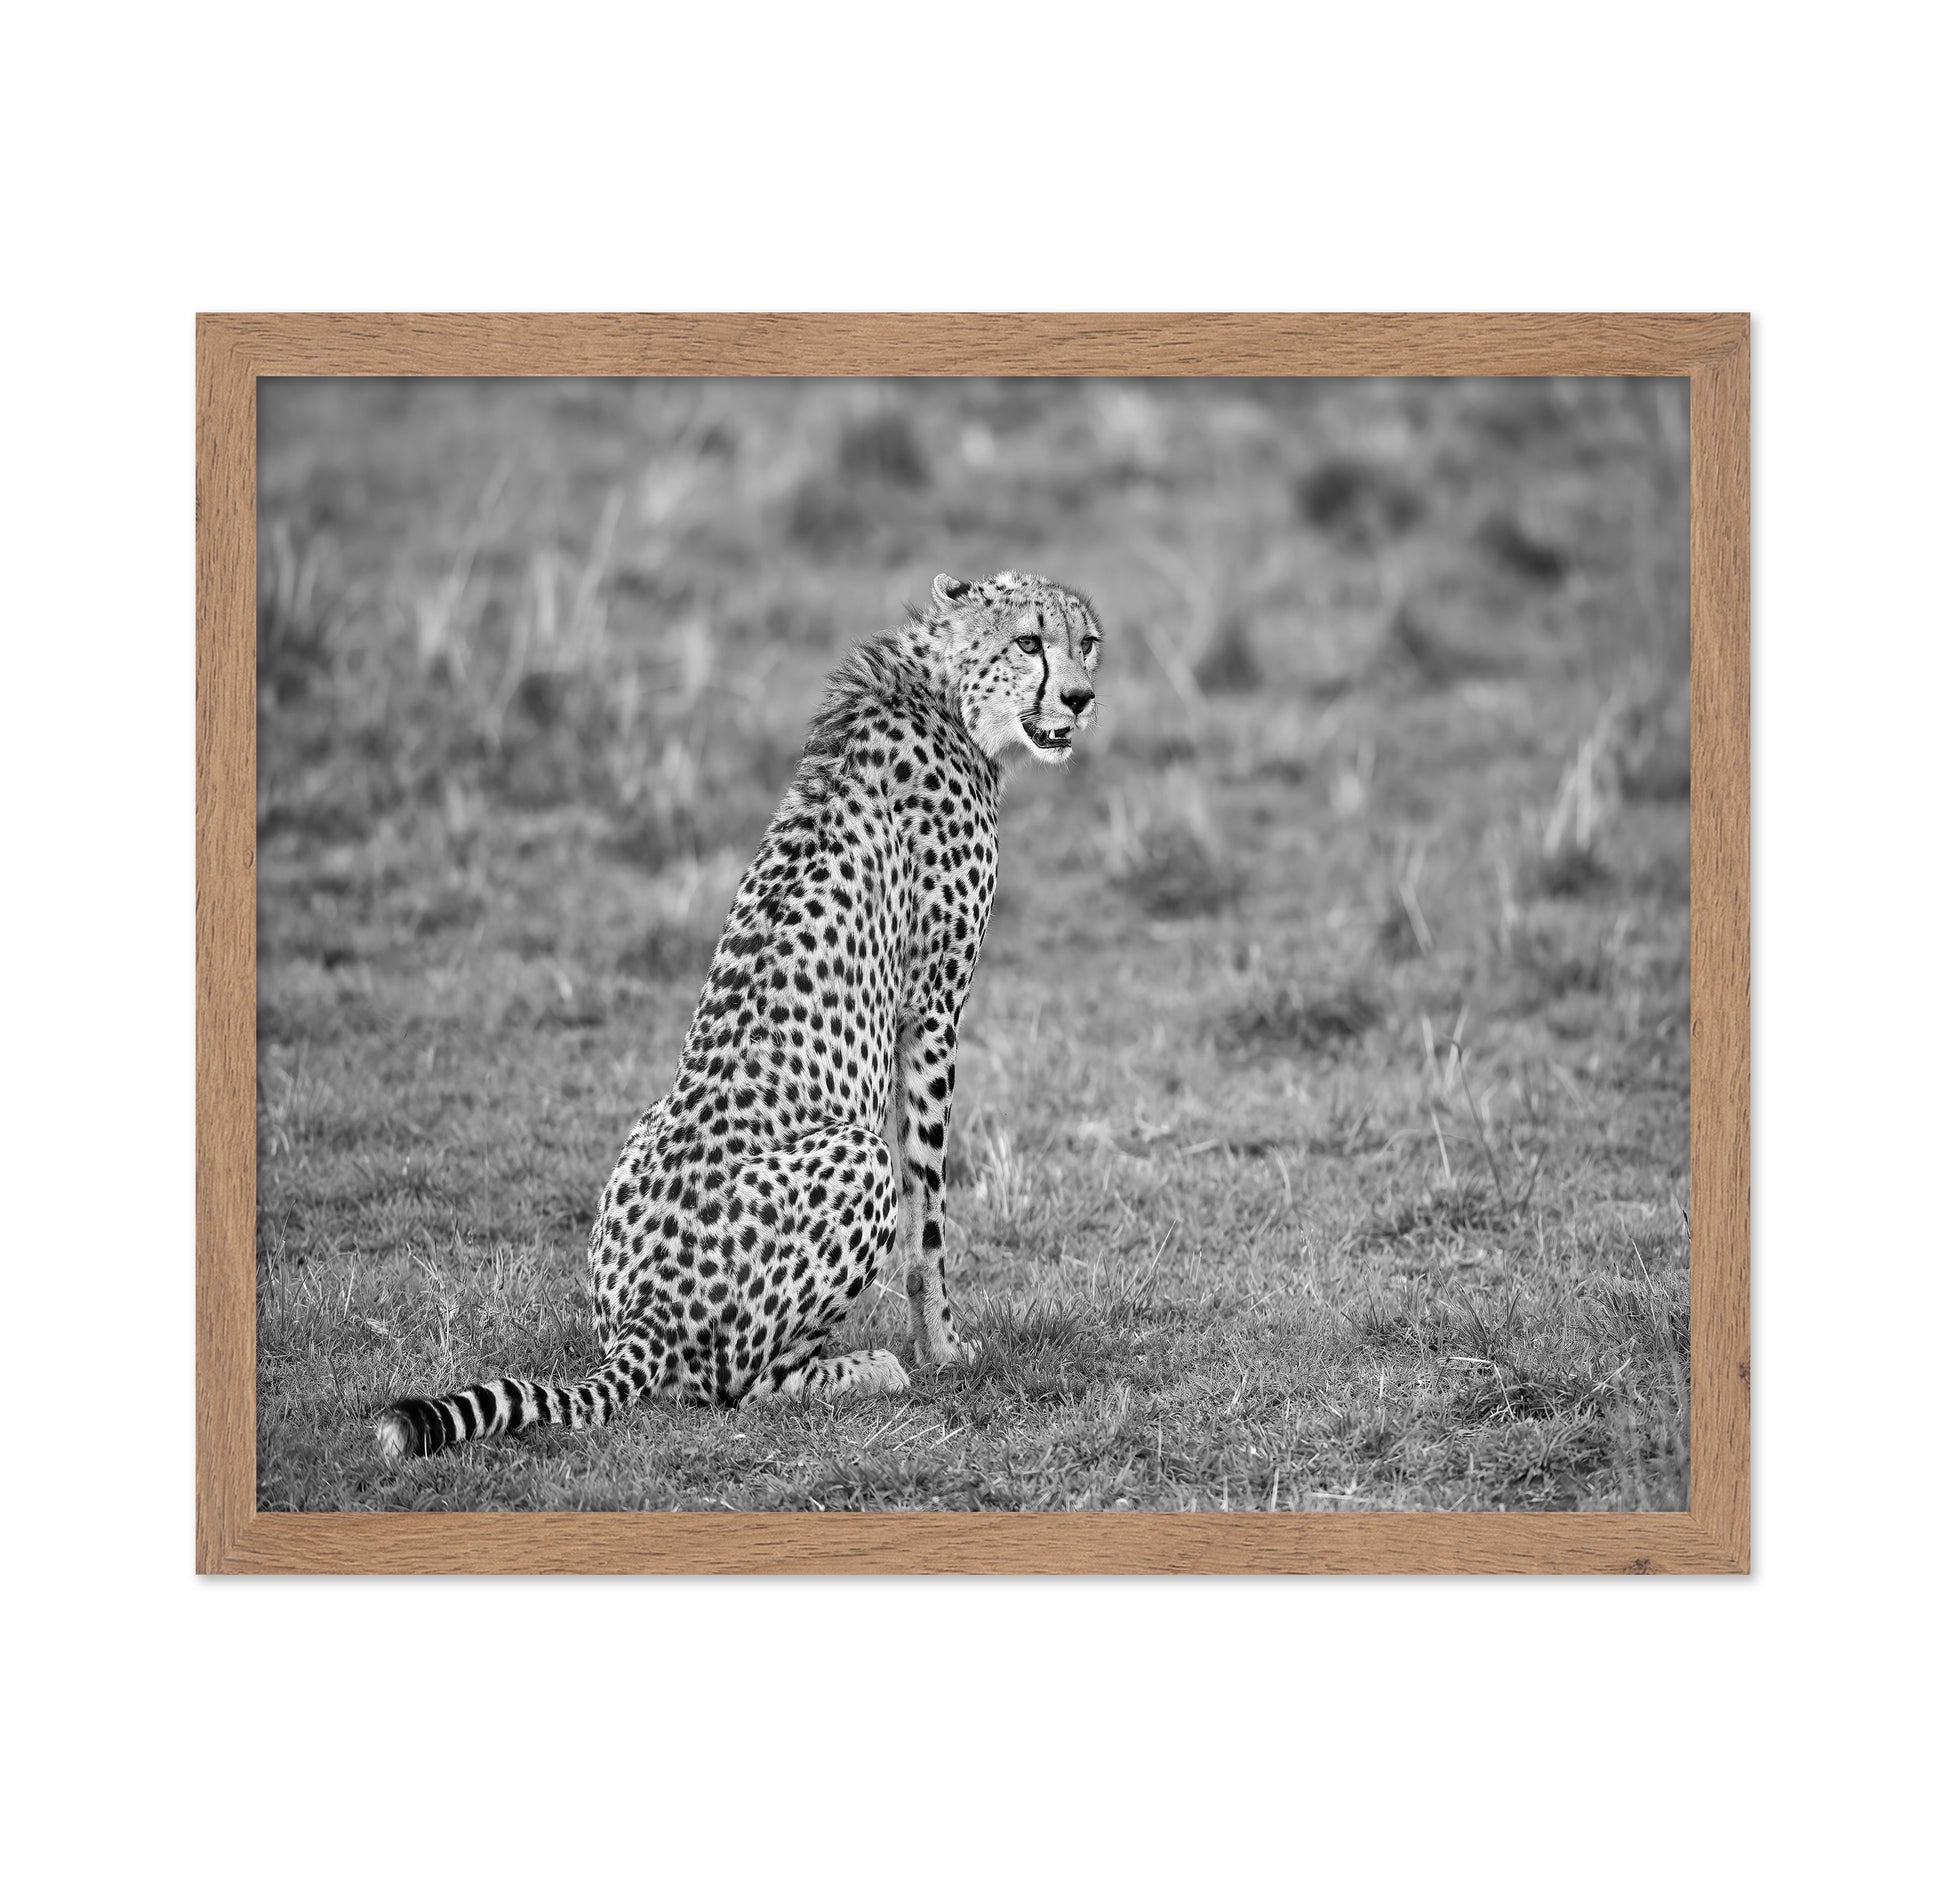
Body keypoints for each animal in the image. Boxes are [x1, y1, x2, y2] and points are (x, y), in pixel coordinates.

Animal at [375, 569, 1102, 1461]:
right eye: (1029, 642)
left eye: (1085, 642)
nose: (1080, 697)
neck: (941, 688)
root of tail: (644, 1317)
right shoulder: (932, 1010)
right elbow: (930, 1215)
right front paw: (944, 1347)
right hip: (855, 1157)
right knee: (740, 1384)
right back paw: (867, 1368)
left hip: (645, 1130)